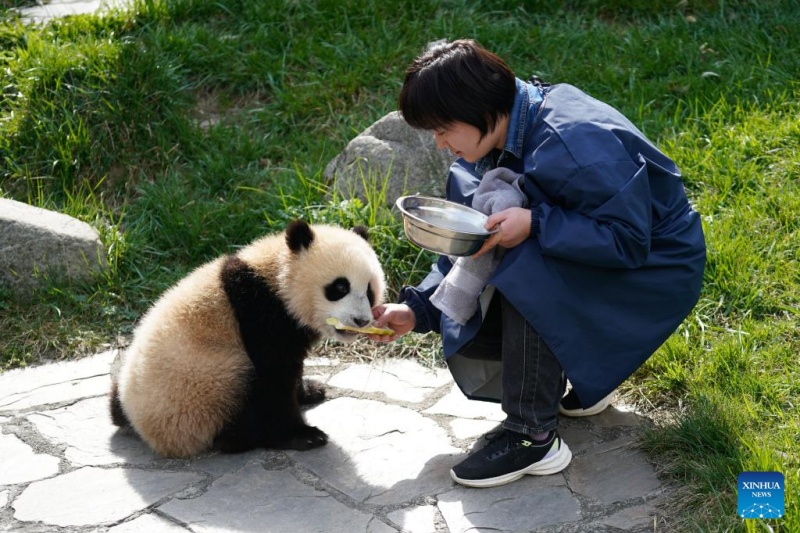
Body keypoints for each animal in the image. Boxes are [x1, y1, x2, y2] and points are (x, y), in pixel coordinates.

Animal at [109, 220, 386, 458]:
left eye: (369, 291)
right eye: (340, 287)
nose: (361, 320)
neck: (275, 276)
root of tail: (144, 428)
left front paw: (309, 390)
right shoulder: (259, 311)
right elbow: (274, 373)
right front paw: (302, 435)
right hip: (202, 390)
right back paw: (248, 436)